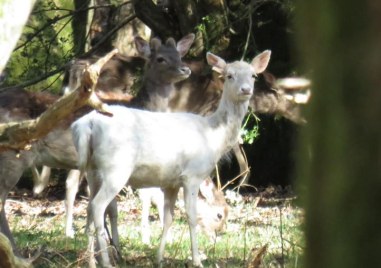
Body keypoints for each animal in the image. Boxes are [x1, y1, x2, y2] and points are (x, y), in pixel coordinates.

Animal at [72, 49, 270, 266]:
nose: (245, 90)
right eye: (229, 75)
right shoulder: (192, 175)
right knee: (98, 206)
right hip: (116, 168)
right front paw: (197, 260)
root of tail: (87, 124)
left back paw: (91, 261)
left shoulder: (171, 182)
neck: (213, 136)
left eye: (253, 75)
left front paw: (159, 259)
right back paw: (106, 262)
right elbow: (191, 216)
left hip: (92, 169)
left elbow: (168, 219)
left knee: (89, 208)